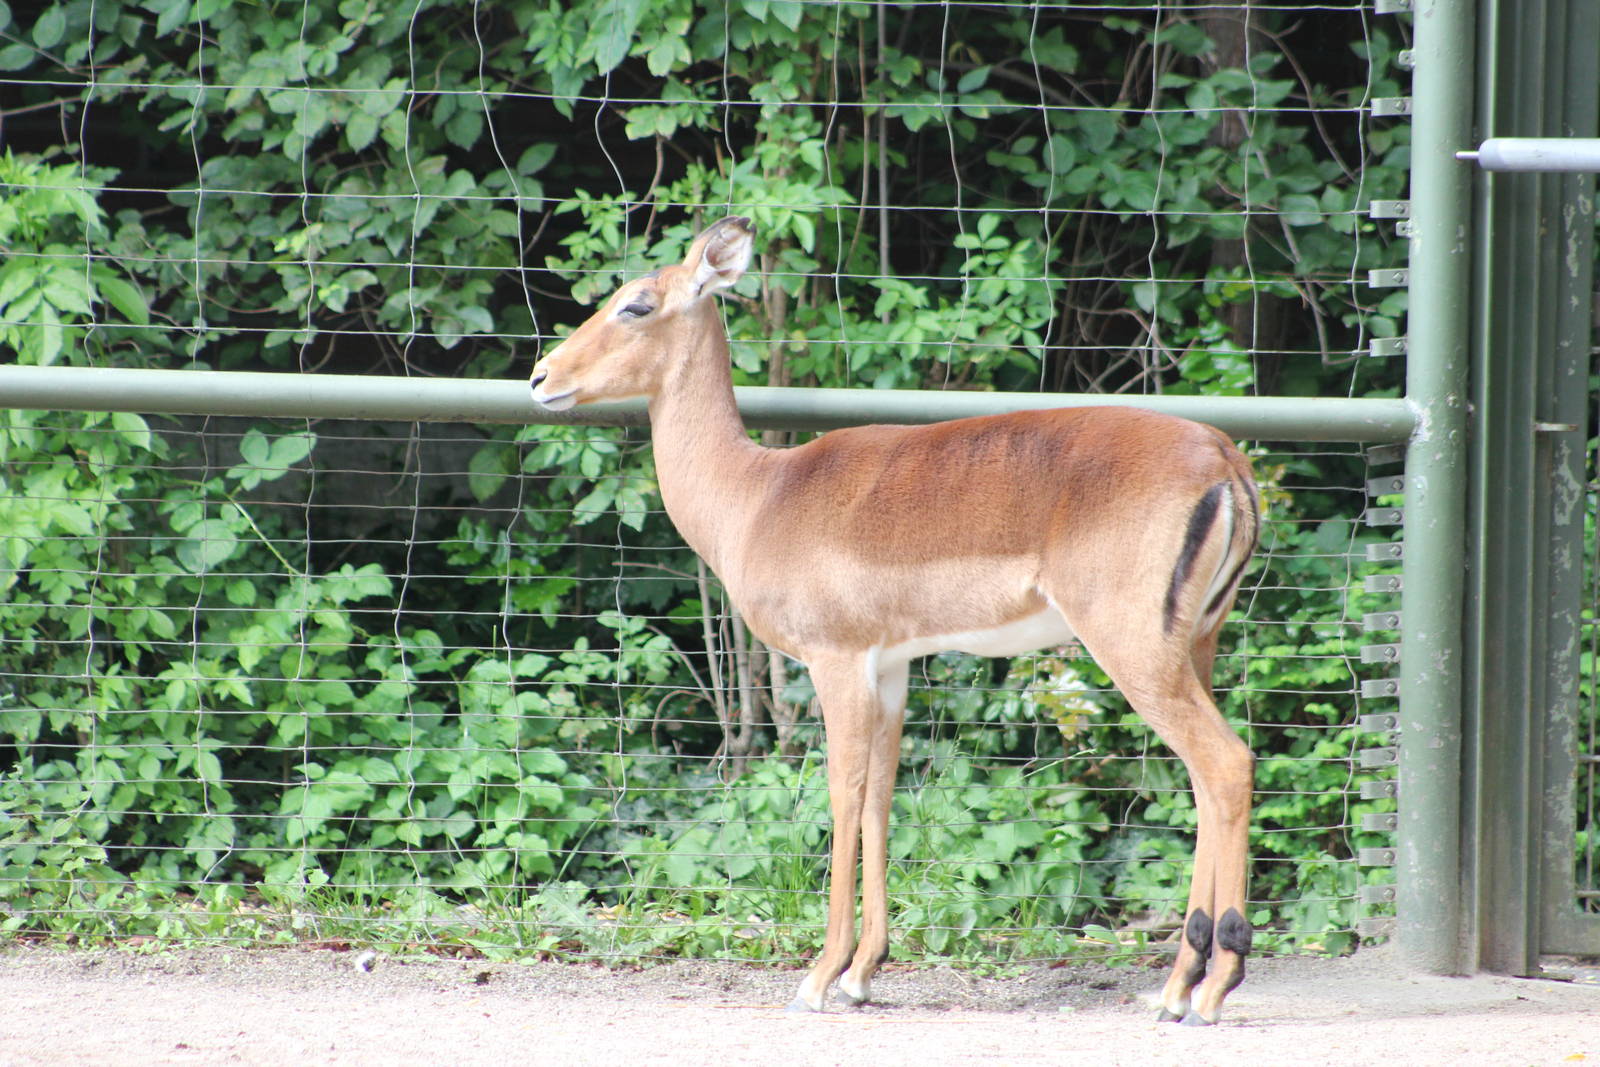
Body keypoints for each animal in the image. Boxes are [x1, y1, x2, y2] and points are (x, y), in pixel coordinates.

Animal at [529, 216, 1260, 1025]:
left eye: (636, 303)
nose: (541, 376)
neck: (755, 497)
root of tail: (1223, 459)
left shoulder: (835, 659)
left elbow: (842, 792)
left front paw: (819, 977)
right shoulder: (890, 666)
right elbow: (881, 794)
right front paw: (862, 973)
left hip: (1133, 650)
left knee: (1226, 763)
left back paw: (1207, 987)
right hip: (1194, 645)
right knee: (1204, 778)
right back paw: (1181, 984)